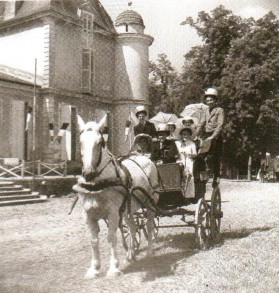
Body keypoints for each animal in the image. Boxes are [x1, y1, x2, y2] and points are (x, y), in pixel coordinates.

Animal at [74, 114, 161, 276]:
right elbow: (93, 240)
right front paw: (94, 268)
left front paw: (113, 268)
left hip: (150, 203)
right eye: (80, 141)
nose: (89, 173)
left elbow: (111, 237)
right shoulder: (88, 214)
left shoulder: (113, 213)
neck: (97, 184)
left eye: (100, 142)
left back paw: (149, 251)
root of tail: (144, 157)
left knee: (150, 225)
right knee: (133, 227)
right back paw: (130, 255)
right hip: (128, 209)